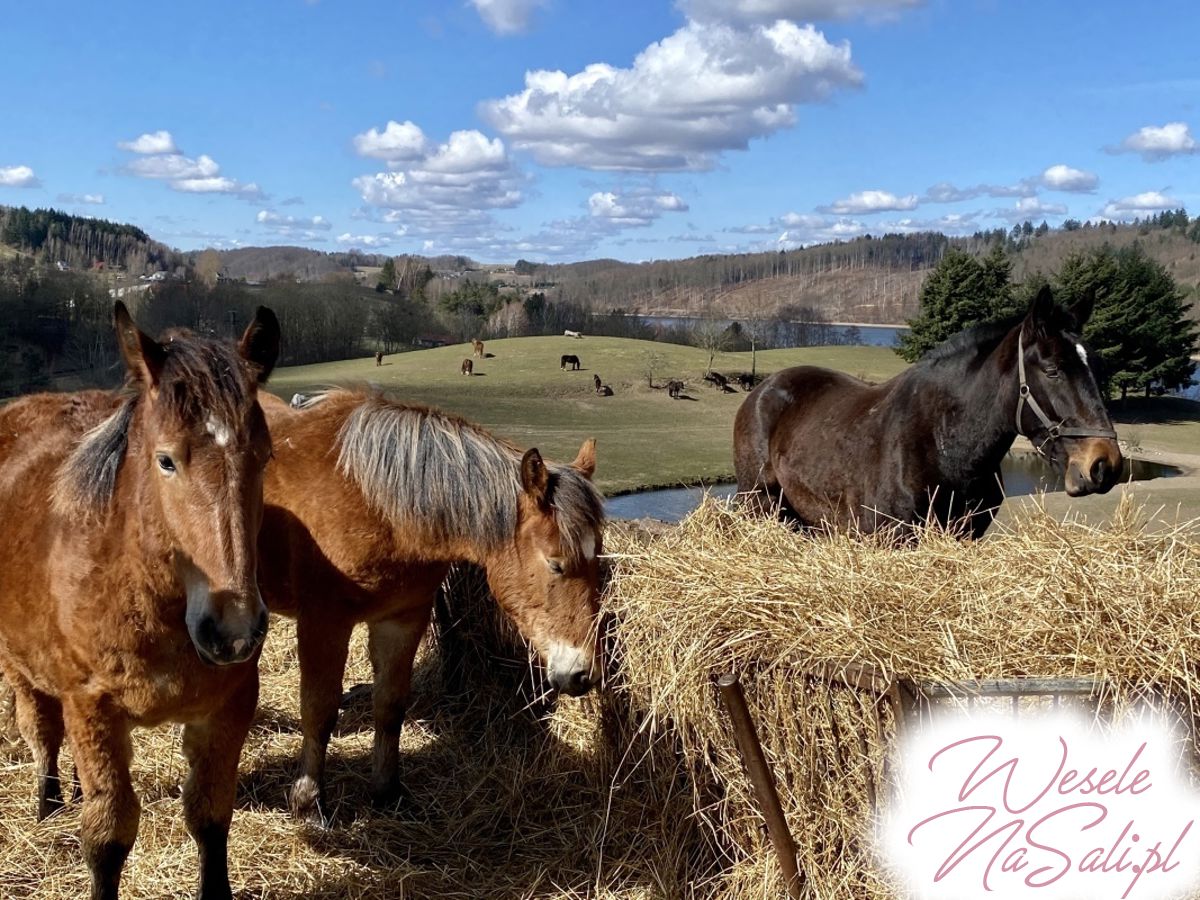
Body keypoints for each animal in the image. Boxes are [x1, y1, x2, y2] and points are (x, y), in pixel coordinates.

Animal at [0, 304, 279, 900]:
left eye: (265, 458)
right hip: (22, 670)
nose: (233, 631)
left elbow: (209, 815)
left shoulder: (227, 708)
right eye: (166, 461)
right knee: (43, 732)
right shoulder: (93, 708)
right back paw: (47, 804)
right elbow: (108, 838)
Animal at [256, 391, 604, 830]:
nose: (582, 675)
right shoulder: (324, 623)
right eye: (556, 564)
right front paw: (309, 803)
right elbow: (319, 711)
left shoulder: (403, 619)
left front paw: (388, 793)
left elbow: (390, 707)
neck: (374, 501)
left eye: (598, 560)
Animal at [729, 289, 1123, 540]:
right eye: (1053, 370)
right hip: (759, 503)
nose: (1104, 463)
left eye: (1097, 366)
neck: (942, 442)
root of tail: (762, 391)